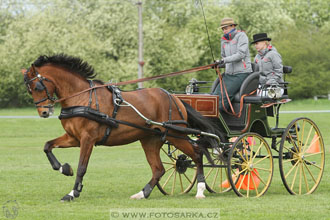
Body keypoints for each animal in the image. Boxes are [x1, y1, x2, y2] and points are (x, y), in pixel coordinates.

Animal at [21, 53, 224, 201]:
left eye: (38, 86)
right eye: (30, 90)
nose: (44, 112)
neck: (82, 97)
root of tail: (174, 98)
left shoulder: (87, 139)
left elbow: (82, 167)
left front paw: (72, 193)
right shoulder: (74, 138)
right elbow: (47, 146)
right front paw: (64, 168)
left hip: (175, 135)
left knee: (197, 154)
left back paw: (200, 189)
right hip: (150, 140)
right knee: (159, 169)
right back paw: (143, 193)